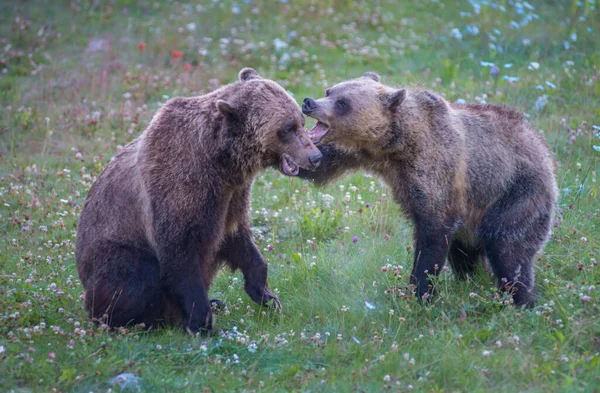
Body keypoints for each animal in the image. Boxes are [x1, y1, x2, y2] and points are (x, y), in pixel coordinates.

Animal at [77, 67, 326, 330]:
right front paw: (201, 322)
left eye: (300, 121)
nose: (315, 157)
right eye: (287, 128)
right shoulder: (178, 189)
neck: (221, 161)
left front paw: (266, 294)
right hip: (113, 246)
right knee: (133, 273)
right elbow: (181, 254)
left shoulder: (231, 196)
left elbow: (237, 237)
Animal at [300, 72, 556, 308]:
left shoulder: (436, 169)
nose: (309, 102)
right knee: (465, 252)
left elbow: (432, 233)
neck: (392, 147)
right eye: (329, 91)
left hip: (515, 192)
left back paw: (520, 299)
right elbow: (318, 162)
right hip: (472, 214)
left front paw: (418, 292)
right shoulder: (353, 152)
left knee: (509, 249)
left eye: (343, 103)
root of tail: (541, 145)